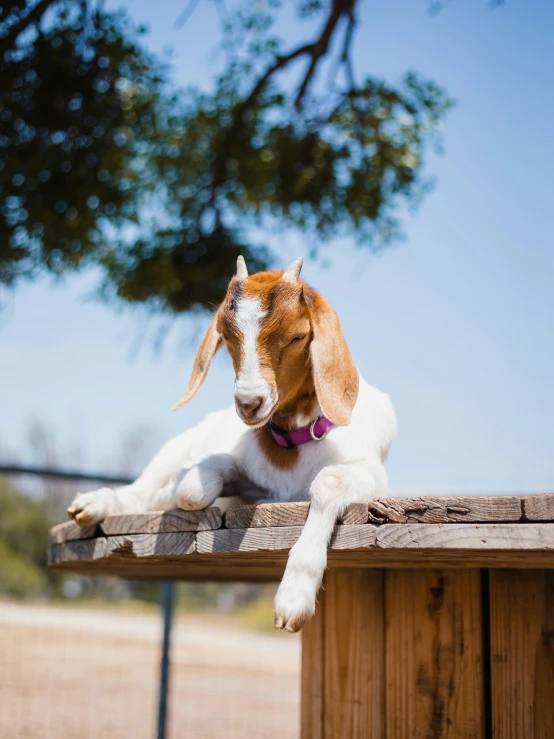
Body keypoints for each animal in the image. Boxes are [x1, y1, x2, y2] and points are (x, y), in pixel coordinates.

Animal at [68, 258, 396, 632]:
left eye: (297, 337)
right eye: (226, 336)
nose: (249, 403)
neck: (291, 444)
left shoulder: (370, 474)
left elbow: (328, 480)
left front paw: (293, 598)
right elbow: (193, 488)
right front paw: (173, 491)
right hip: (177, 446)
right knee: (138, 492)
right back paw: (95, 503)